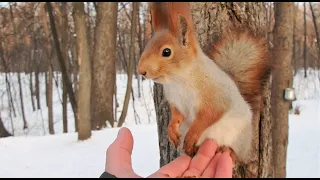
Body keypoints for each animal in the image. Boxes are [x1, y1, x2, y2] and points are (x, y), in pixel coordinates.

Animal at [136, 1, 272, 165]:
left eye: (166, 52)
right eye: (147, 46)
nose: (140, 71)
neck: (179, 80)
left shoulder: (214, 96)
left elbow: (209, 115)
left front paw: (192, 135)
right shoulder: (175, 99)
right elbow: (177, 113)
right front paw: (171, 128)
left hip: (240, 138)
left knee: (237, 153)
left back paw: (227, 151)